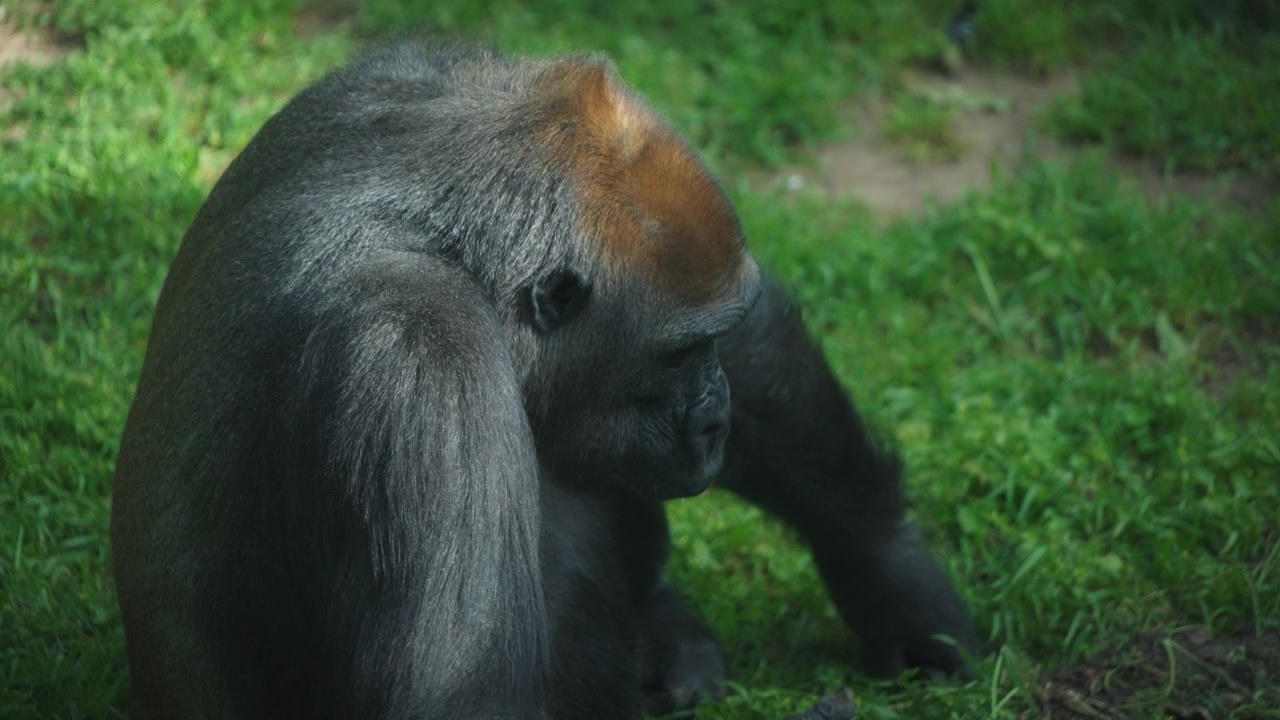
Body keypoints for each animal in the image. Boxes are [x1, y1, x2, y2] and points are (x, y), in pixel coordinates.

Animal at [110, 39, 979, 720]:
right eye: (675, 357)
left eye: (711, 341)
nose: (714, 422)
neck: (456, 247)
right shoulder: (419, 362)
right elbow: (461, 703)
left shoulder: (414, 67)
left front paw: (892, 573)